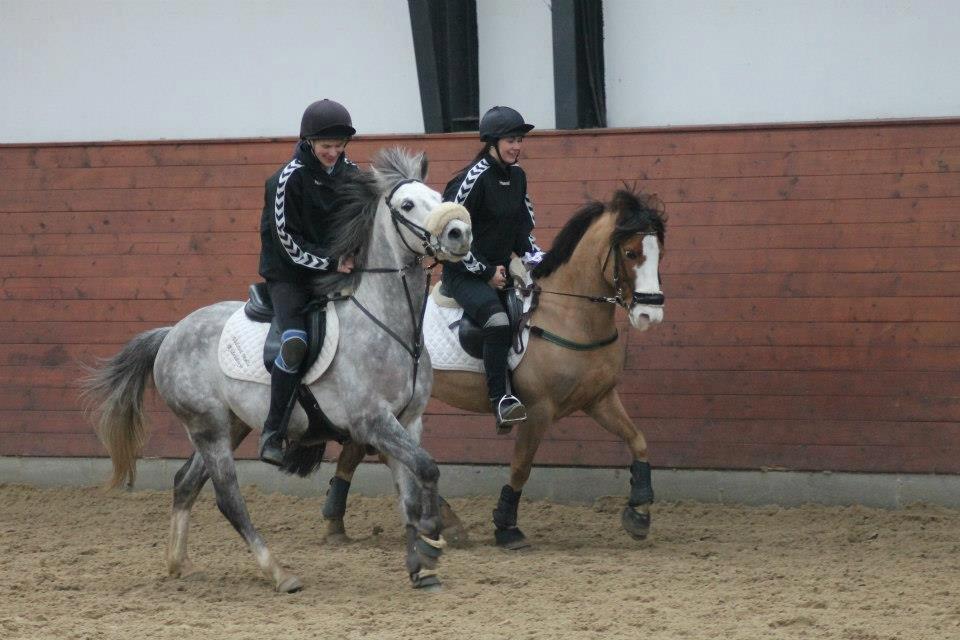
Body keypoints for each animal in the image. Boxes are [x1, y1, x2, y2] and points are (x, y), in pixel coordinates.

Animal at [84, 148, 474, 592]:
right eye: (408, 205)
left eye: (436, 195)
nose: (460, 233)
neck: (389, 325)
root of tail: (171, 334)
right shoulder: (373, 422)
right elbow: (427, 468)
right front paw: (430, 541)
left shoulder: (407, 422)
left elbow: (411, 490)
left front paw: (421, 564)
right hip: (208, 427)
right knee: (228, 499)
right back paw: (278, 572)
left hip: (230, 425)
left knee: (185, 483)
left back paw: (177, 563)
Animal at [322, 188, 668, 548]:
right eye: (630, 252)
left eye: (659, 253)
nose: (650, 315)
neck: (567, 314)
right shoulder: (538, 410)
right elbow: (520, 468)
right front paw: (507, 527)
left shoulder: (599, 399)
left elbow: (638, 440)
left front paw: (640, 512)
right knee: (364, 449)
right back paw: (341, 523)